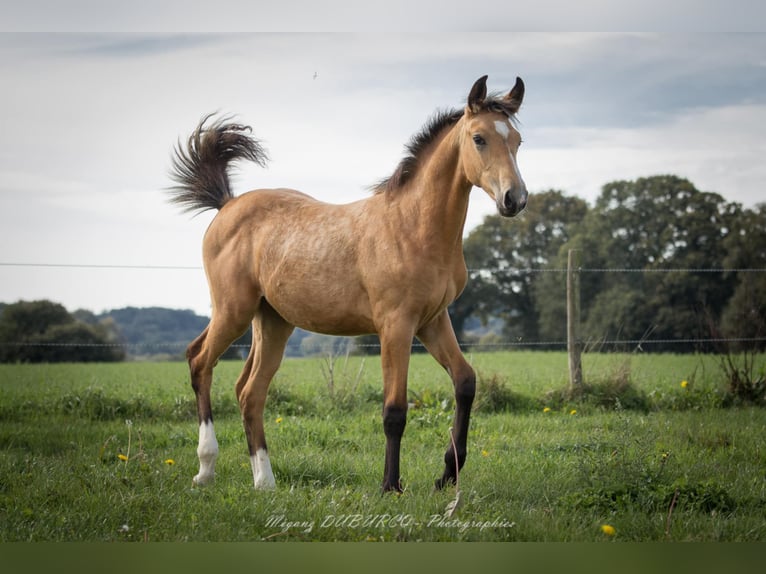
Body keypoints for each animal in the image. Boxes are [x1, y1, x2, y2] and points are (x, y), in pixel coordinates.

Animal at [168, 75, 527, 492]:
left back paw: (265, 480)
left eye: (517, 141)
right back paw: (206, 467)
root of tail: (227, 204)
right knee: (199, 361)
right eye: (479, 138)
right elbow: (394, 409)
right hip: (233, 311)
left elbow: (466, 381)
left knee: (249, 392)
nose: (514, 199)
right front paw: (390, 486)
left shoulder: (433, 320)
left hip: (272, 321)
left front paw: (447, 473)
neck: (412, 226)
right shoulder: (395, 325)